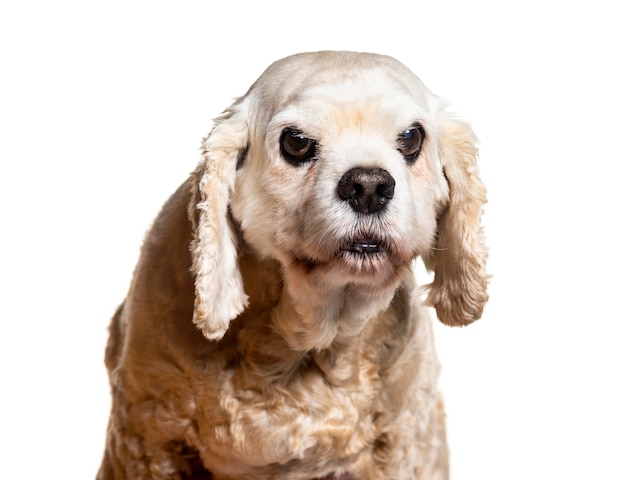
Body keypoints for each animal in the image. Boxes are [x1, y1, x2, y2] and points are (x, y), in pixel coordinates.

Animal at [97, 50, 488, 478]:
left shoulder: (406, 438)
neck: (308, 343)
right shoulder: (149, 434)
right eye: (296, 142)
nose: (368, 186)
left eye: (411, 137)